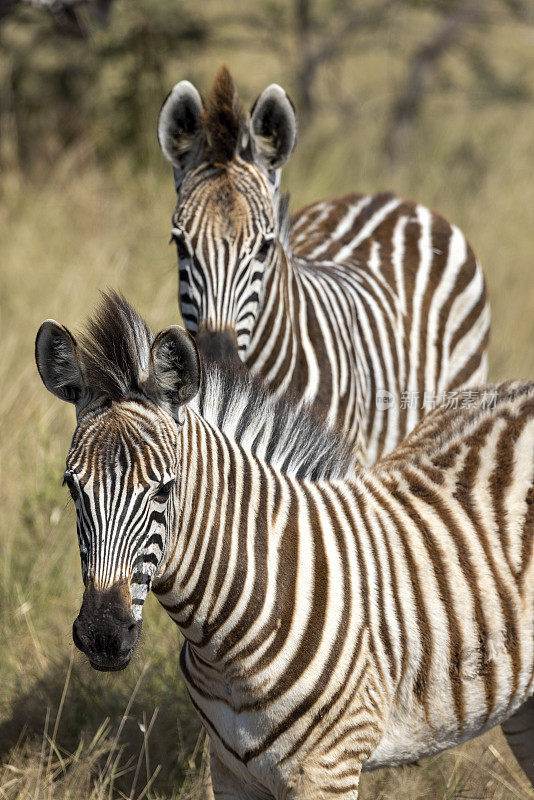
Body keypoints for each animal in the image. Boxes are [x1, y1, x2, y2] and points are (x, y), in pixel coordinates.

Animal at [35, 296, 532, 800]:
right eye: (72, 487)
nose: (103, 635)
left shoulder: (328, 771)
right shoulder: (229, 770)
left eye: (164, 490)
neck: (225, 651)